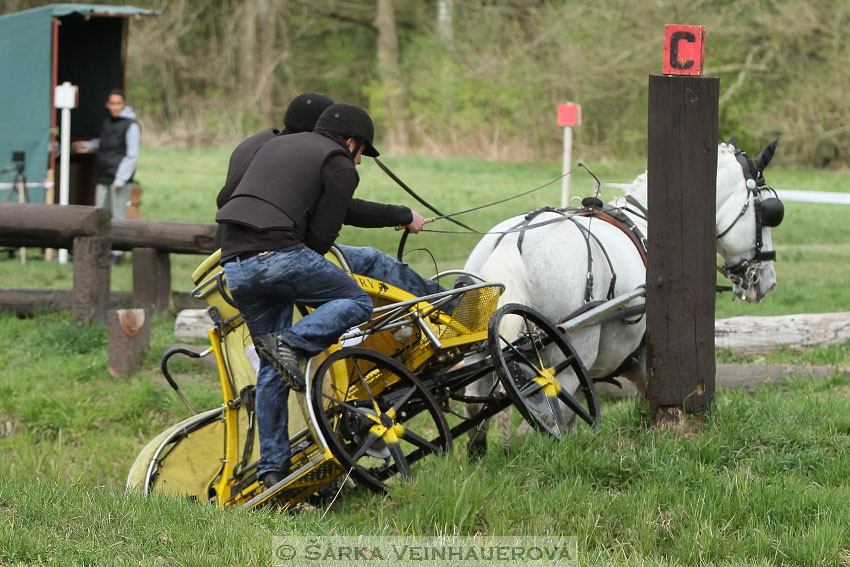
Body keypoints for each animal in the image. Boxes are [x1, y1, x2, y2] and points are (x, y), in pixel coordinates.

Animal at [464, 140, 780, 450]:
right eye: (768, 212)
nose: (768, 282)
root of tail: (516, 239)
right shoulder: (638, 359)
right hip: (566, 354)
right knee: (548, 412)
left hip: (480, 349)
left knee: (475, 409)